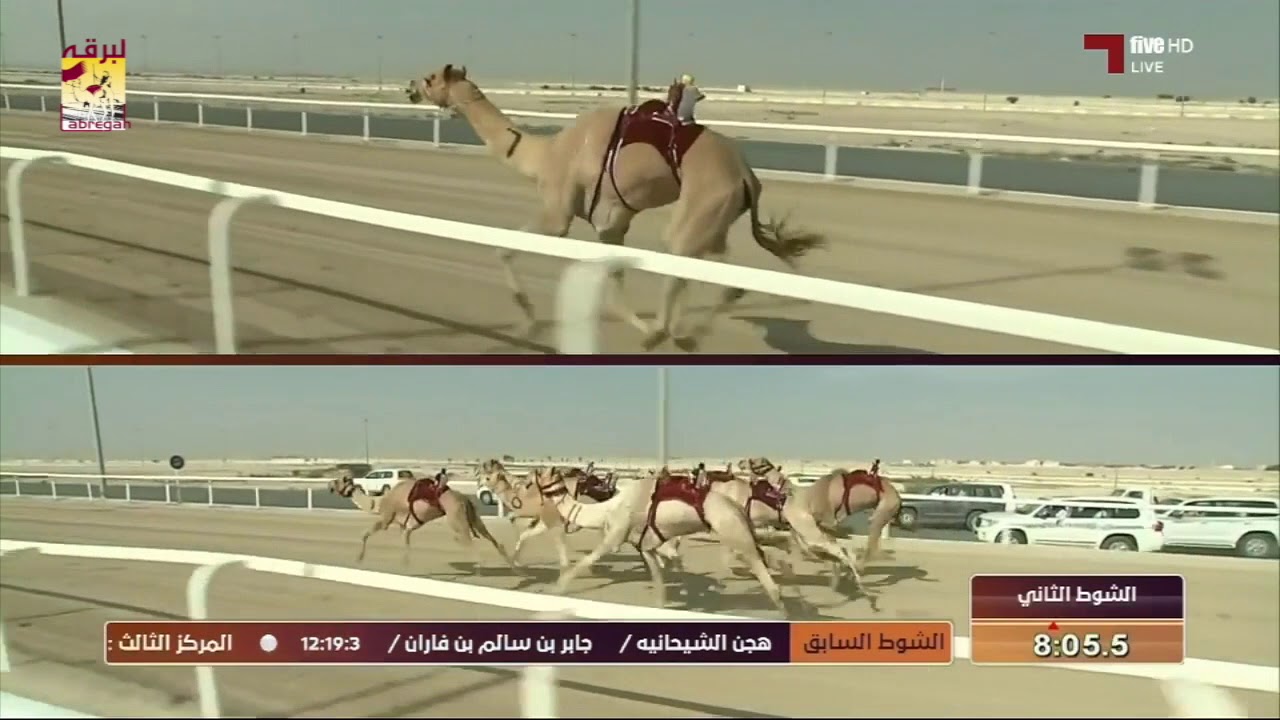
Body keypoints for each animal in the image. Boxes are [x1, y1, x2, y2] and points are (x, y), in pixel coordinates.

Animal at [327, 474, 519, 571]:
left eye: (338, 481)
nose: (329, 485)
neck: (379, 502)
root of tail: (464, 499)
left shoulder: (386, 518)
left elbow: (365, 534)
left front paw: (359, 559)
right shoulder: (409, 526)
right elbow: (406, 543)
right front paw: (406, 565)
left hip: (455, 517)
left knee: (469, 542)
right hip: (473, 516)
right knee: (494, 540)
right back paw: (515, 569)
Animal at [407, 65, 826, 352]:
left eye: (431, 77)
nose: (410, 89)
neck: (544, 154)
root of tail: (747, 176)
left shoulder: (560, 212)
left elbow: (505, 248)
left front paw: (529, 319)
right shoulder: (612, 224)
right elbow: (613, 282)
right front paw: (648, 330)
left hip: (702, 203)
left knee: (681, 255)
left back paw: (671, 333)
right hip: (715, 217)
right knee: (719, 275)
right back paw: (683, 335)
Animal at [542, 466, 786, 615]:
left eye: (544, 475)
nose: (541, 473)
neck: (608, 508)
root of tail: (736, 507)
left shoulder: (616, 534)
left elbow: (588, 559)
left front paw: (557, 588)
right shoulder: (645, 546)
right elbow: (659, 580)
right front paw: (663, 605)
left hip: (733, 530)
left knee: (759, 566)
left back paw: (783, 608)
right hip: (739, 531)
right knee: (761, 554)